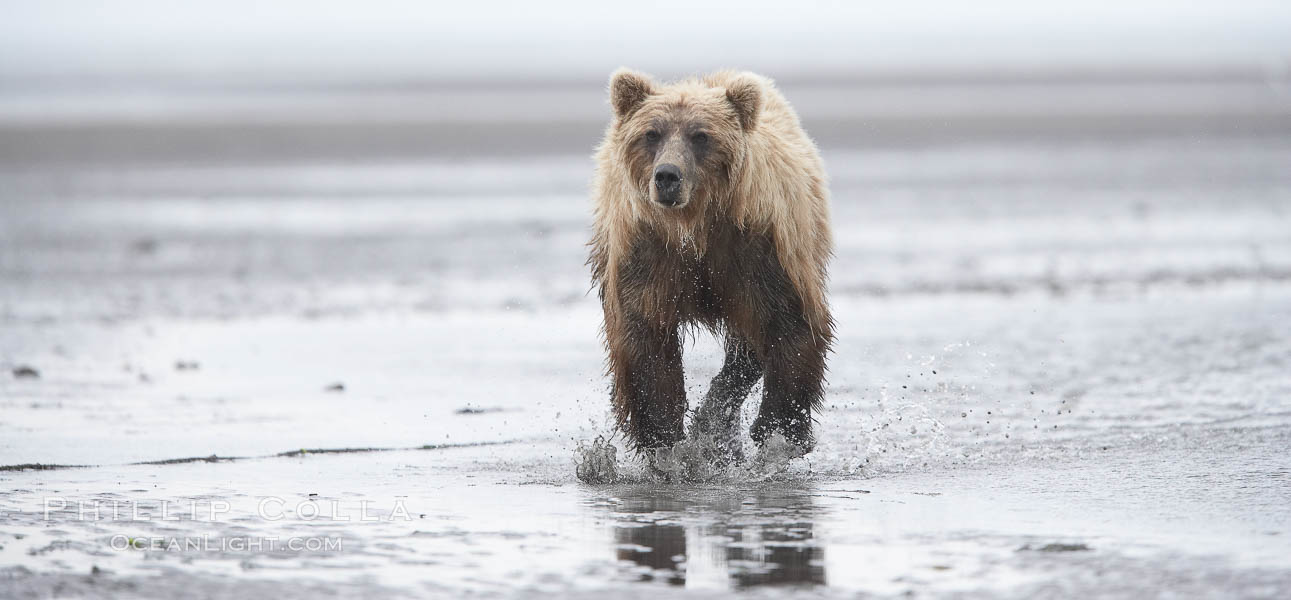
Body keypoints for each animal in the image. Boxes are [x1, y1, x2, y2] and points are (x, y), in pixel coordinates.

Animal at [588, 66, 831, 459]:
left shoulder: (757, 247)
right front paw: (664, 438)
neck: (695, 228)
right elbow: (645, 338)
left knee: (747, 346)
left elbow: (789, 322)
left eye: (700, 135)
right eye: (651, 133)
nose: (667, 176)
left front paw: (781, 431)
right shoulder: (648, 254)